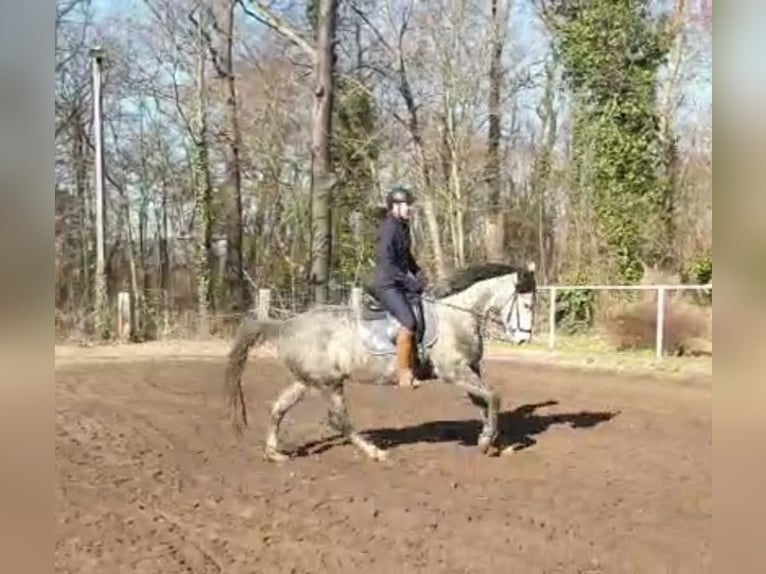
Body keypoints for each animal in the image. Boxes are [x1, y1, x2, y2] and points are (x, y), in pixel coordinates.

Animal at [224, 264, 540, 466]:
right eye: (526, 305)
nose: (524, 339)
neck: (455, 317)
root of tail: (286, 324)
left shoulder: (471, 369)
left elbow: (484, 402)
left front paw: (495, 442)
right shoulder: (454, 373)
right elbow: (493, 397)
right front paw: (487, 441)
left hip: (308, 381)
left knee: (278, 407)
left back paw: (274, 454)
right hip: (329, 383)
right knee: (339, 421)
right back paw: (376, 453)